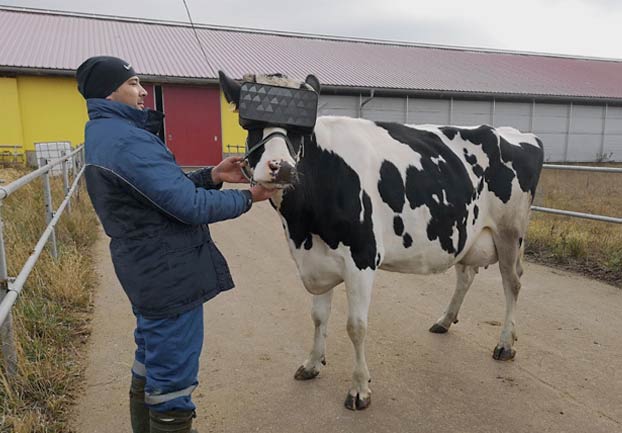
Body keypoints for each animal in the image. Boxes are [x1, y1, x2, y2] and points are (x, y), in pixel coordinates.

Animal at [219, 70, 544, 408]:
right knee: (466, 275)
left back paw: (505, 344)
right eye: (250, 125)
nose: (281, 168)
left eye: (300, 130)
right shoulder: (316, 260)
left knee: (513, 282)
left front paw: (359, 388)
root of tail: (516, 133)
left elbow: (356, 326)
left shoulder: (361, 257)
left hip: (510, 232)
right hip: (466, 232)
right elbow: (318, 317)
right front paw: (312, 364)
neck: (302, 227)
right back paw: (444, 320)